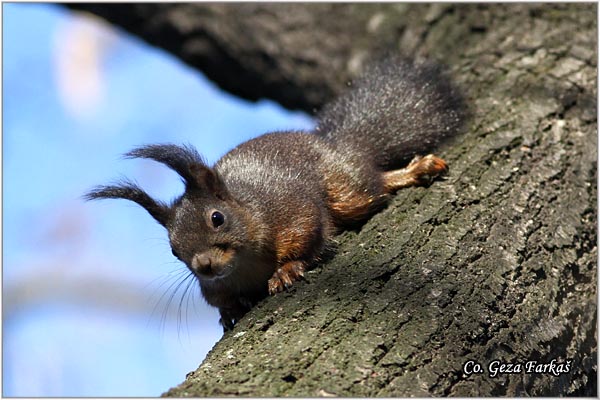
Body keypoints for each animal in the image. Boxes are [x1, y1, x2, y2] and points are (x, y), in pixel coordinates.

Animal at [86, 55, 466, 332]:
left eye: (217, 218)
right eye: (173, 249)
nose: (204, 266)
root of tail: (332, 144)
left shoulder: (291, 210)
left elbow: (309, 236)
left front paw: (286, 269)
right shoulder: (215, 286)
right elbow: (218, 299)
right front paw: (228, 311)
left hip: (347, 189)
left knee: (371, 186)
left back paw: (411, 172)